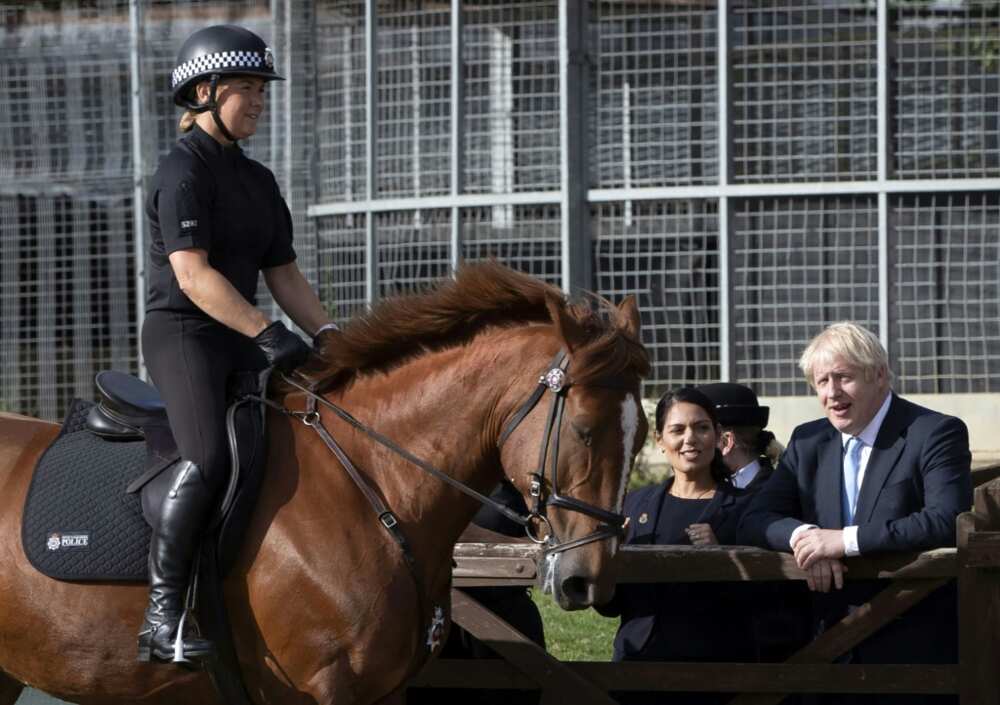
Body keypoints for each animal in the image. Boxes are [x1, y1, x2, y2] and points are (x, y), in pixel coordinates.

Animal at [0, 262, 648, 704]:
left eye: (640, 434)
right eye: (585, 430)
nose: (589, 581)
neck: (374, 481)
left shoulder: (384, 691)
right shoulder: (322, 688)